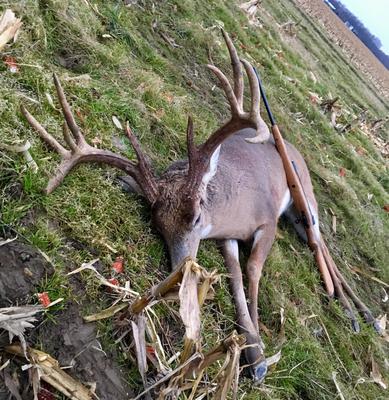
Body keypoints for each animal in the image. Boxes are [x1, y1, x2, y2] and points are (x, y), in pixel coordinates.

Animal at [21, 30, 372, 382]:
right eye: (159, 225)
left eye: (196, 216)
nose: (181, 271)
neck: (233, 208)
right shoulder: (227, 237)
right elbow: (235, 275)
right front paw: (251, 350)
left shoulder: (267, 220)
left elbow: (253, 270)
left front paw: (259, 359)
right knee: (317, 244)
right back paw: (359, 313)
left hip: (306, 197)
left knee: (320, 241)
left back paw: (360, 314)